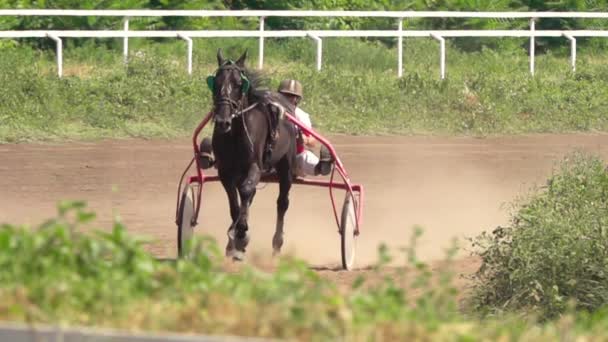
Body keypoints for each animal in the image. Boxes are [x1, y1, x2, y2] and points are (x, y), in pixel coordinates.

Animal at [205, 48, 298, 260]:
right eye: (216, 82)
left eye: (239, 84)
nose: (222, 121)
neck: (235, 133)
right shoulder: (226, 171)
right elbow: (235, 203)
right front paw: (233, 241)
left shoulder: (255, 166)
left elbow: (246, 191)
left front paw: (241, 234)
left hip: (286, 166)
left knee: (282, 202)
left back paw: (277, 244)